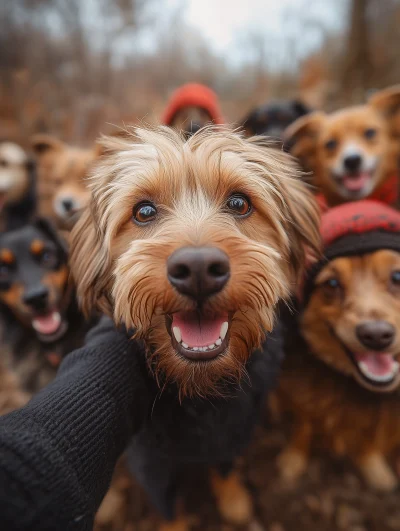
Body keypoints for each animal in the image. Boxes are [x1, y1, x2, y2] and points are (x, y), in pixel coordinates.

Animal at [70, 127, 320, 528]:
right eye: (144, 211)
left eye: (239, 203)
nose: (198, 268)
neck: (201, 388)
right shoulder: (152, 465)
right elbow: (170, 508)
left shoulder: (232, 435)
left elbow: (225, 469)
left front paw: (234, 501)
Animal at [278, 201, 400, 494]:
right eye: (331, 284)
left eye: (397, 276)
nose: (376, 335)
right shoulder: (302, 396)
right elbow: (303, 427)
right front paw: (292, 461)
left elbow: (367, 441)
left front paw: (374, 468)